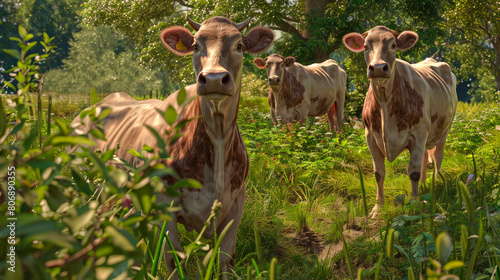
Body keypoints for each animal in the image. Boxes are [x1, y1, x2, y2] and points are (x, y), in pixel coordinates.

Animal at [69, 17, 274, 276]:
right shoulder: (164, 204)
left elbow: (226, 259)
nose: (214, 78)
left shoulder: (237, 202)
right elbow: (173, 259)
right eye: (195, 46)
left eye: (239, 46)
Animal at [344, 26, 458, 218]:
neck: (384, 102)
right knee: (425, 158)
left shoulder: (418, 135)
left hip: (444, 129)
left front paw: (414, 204)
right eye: (366, 46)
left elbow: (413, 173)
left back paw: (436, 183)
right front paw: (378, 207)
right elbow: (379, 173)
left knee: (438, 157)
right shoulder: (371, 137)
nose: (378, 67)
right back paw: (424, 185)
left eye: (393, 45)